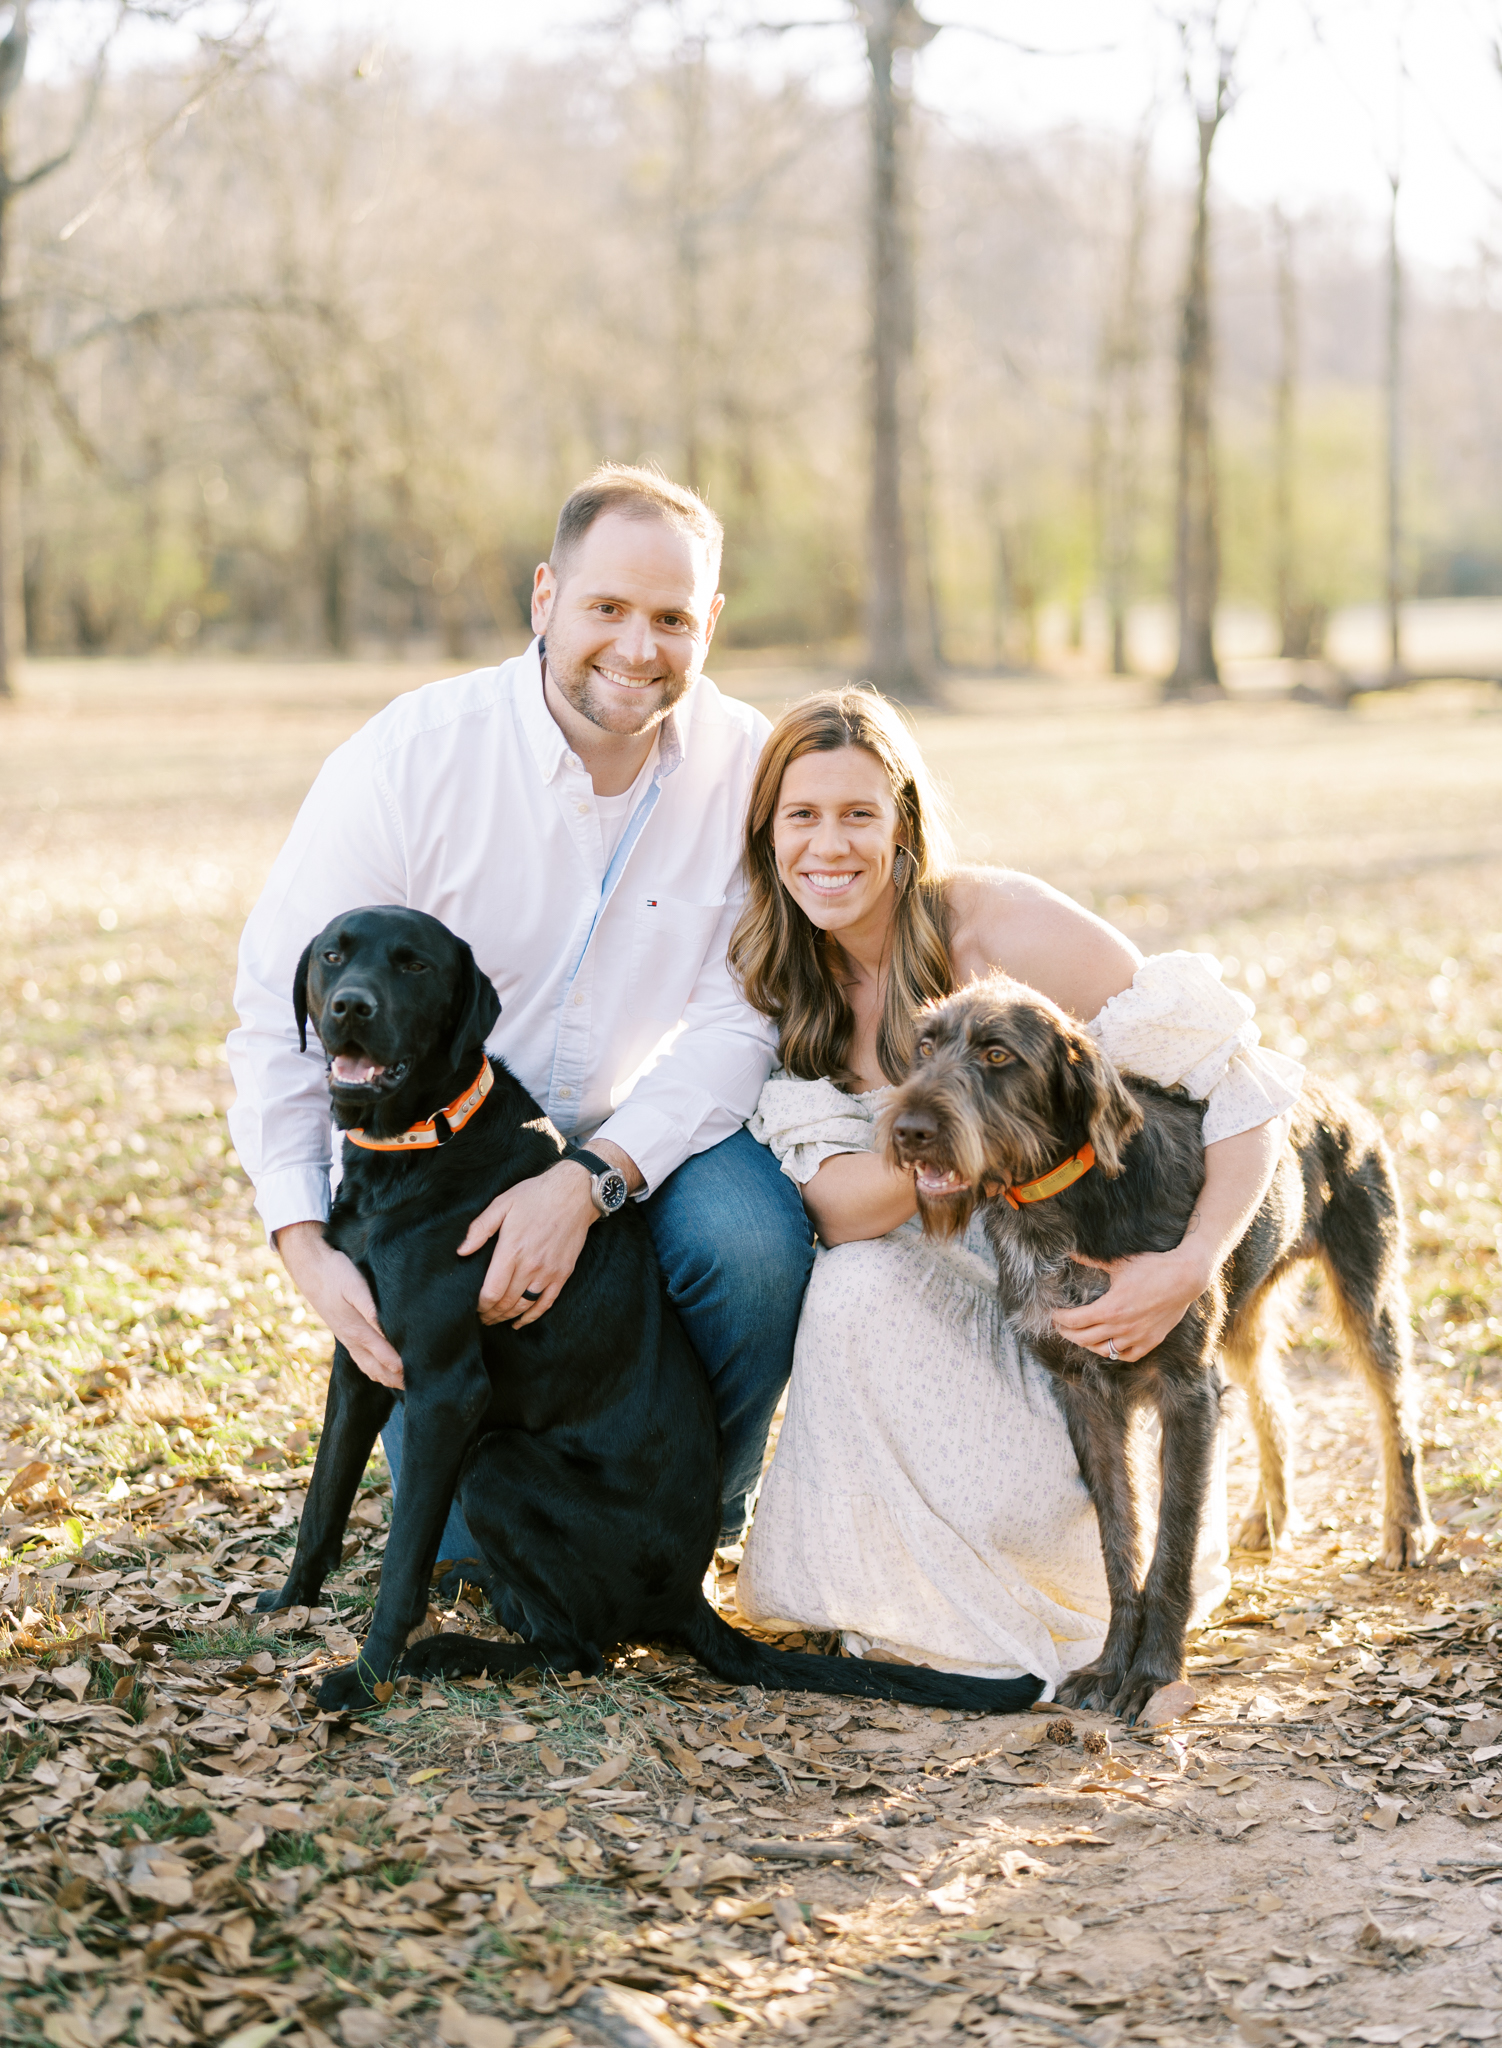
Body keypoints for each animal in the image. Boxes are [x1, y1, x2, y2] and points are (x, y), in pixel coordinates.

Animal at [258, 905, 1040, 1720]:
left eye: (414, 965)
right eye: (332, 955)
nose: (350, 1006)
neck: (416, 1145)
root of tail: (688, 1598)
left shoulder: (445, 1390)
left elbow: (400, 1562)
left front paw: (364, 1676)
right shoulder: (358, 1357)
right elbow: (322, 1501)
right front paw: (290, 1605)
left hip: (494, 1462)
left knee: (577, 1650)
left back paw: (451, 1649)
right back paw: (478, 1588)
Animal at [885, 974, 1434, 1728]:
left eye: (998, 1054)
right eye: (925, 1046)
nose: (909, 1130)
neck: (1064, 1204)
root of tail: (1322, 1086)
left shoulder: (1186, 1394)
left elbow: (1173, 1540)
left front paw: (1152, 1673)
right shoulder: (1085, 1398)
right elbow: (1120, 1540)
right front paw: (1111, 1661)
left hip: (1364, 1287)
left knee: (1395, 1404)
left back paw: (1406, 1527)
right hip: (1243, 1317)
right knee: (1275, 1400)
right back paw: (1270, 1515)